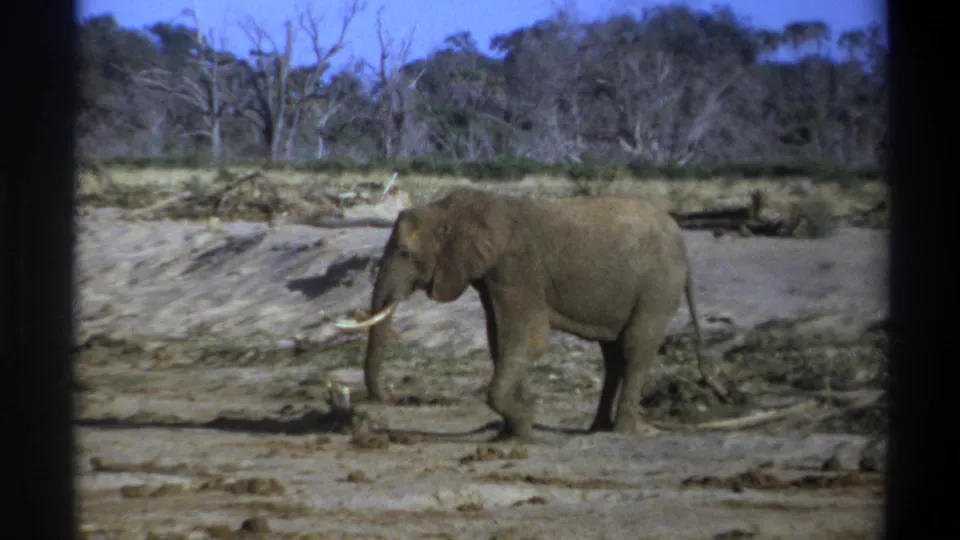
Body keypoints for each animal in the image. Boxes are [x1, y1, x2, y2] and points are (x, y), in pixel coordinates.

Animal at [337, 188, 727, 442]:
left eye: (404, 253)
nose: (390, 397)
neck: (448, 209)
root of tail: (684, 245)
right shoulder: (491, 274)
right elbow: (500, 340)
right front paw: (512, 432)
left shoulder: (516, 266)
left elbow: (529, 337)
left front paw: (525, 425)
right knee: (613, 355)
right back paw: (597, 429)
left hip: (657, 287)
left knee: (636, 348)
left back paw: (622, 432)